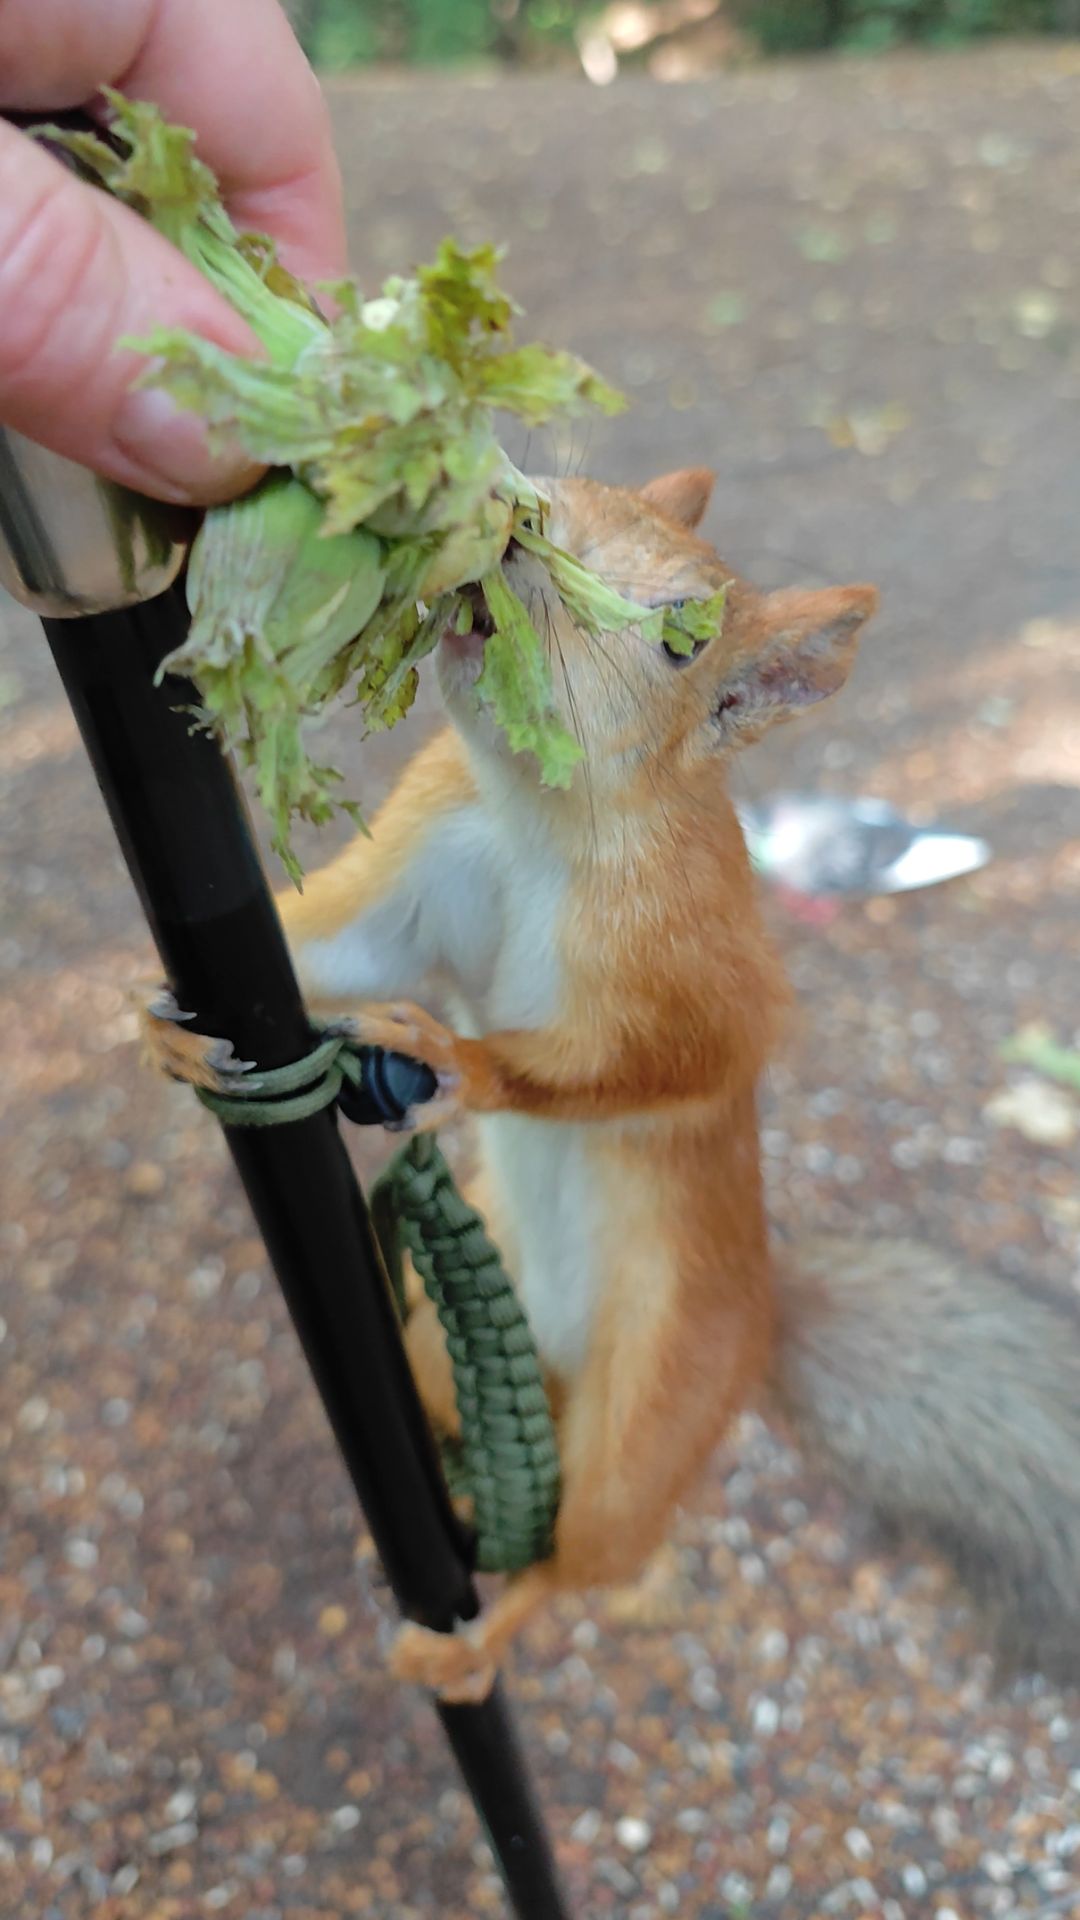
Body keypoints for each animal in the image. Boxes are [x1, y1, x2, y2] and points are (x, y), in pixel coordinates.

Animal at [146, 467, 1080, 1703]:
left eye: (685, 638)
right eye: (569, 491)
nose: (510, 530)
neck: (535, 821)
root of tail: (762, 1307)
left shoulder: (700, 979)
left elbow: (644, 1071)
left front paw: (463, 1064)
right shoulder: (427, 847)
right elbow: (335, 951)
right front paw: (159, 1023)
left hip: (655, 1407)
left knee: (582, 1557)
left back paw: (475, 1638)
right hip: (450, 1335)